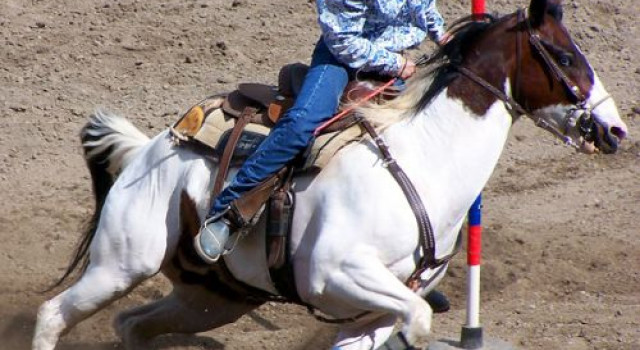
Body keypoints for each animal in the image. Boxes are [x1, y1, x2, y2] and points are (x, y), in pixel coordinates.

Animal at [32, 0, 628, 350]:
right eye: (566, 58)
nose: (616, 130)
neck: (426, 161)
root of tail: (148, 149)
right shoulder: (337, 273)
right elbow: (417, 321)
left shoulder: (374, 312)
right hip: (121, 263)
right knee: (53, 315)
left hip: (212, 299)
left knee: (132, 325)